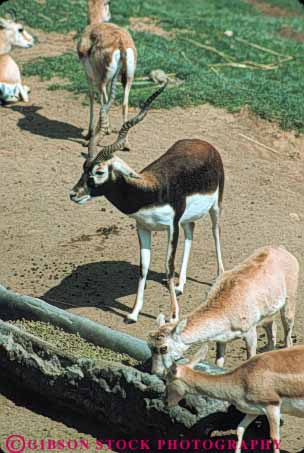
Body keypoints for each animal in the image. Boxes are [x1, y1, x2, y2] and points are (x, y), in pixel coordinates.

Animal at [69, 80, 226, 322]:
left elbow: (168, 266)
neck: (150, 192)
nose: (74, 194)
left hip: (215, 207)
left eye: (99, 171)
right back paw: (180, 286)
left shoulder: (171, 227)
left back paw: (219, 277)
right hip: (187, 219)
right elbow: (143, 268)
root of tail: (204, 144)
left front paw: (174, 315)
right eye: (84, 167)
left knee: (215, 231)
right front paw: (134, 313)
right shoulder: (143, 227)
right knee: (191, 232)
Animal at [77, 0, 137, 154]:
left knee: (104, 101)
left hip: (101, 81)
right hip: (127, 79)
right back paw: (125, 143)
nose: (109, 16)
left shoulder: (89, 76)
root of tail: (120, 43)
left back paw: (95, 138)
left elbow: (92, 98)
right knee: (124, 103)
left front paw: (89, 133)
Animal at [150, 245, 300, 376]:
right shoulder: (221, 340)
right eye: (151, 345)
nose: (155, 372)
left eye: (163, 347)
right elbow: (219, 363)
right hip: (267, 315)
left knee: (288, 336)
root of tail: (284, 251)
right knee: (272, 328)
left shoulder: (250, 331)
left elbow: (250, 358)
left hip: (289, 302)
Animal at [166, 346, 304, 452]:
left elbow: (274, 438)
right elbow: (240, 429)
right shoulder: (254, 411)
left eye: (167, 380)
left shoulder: (272, 405)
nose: (166, 402)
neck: (243, 379)